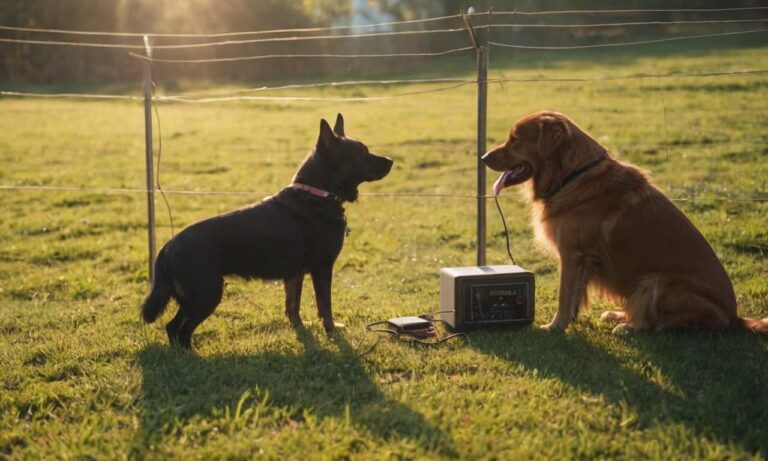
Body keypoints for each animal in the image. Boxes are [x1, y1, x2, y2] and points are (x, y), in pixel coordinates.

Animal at [141, 115, 392, 348]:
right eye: (363, 152)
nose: (391, 160)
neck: (317, 195)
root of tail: (167, 248)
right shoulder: (321, 269)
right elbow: (325, 307)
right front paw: (332, 334)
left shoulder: (295, 274)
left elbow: (293, 307)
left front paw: (302, 332)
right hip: (206, 295)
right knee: (181, 329)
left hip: (194, 298)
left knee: (172, 327)